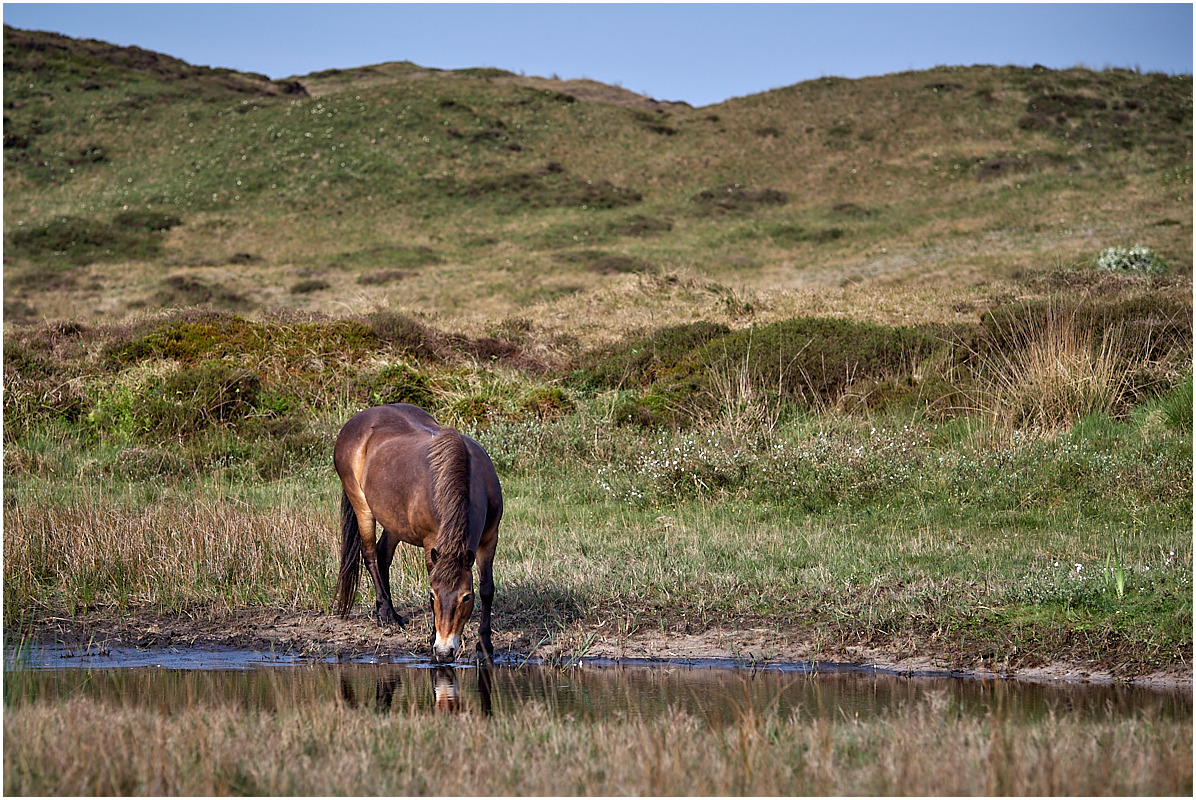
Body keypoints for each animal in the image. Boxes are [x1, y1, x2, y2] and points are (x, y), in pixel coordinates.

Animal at [334, 406, 502, 660]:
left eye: (466, 597)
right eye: (432, 596)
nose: (444, 651)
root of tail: (355, 422)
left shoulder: (489, 539)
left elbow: (487, 589)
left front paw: (485, 645)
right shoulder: (431, 543)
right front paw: (433, 636)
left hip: (393, 521)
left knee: (382, 555)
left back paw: (386, 609)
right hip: (361, 505)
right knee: (370, 554)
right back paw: (387, 614)